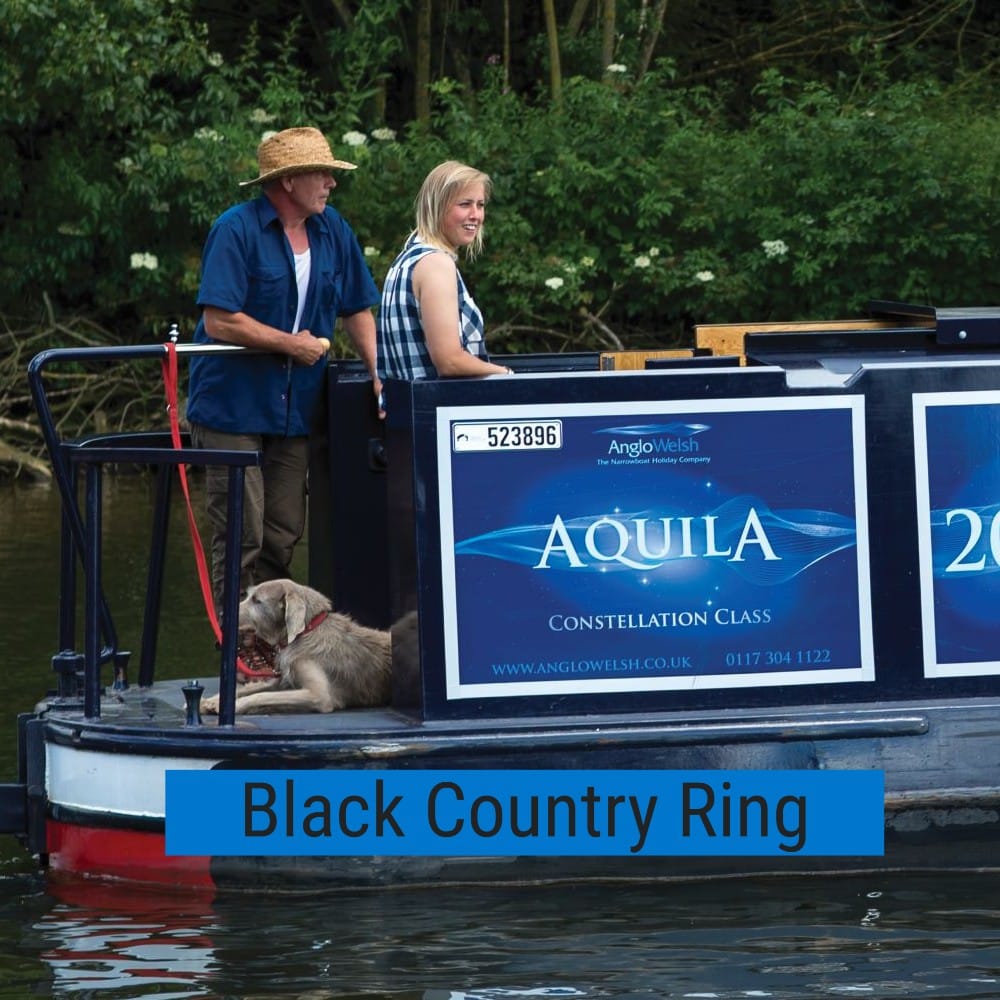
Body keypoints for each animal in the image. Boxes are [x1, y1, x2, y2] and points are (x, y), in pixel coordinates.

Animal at [199, 580, 390, 720]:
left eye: (257, 600)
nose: (222, 614)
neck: (305, 632)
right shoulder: (281, 679)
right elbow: (251, 688)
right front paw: (209, 701)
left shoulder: (320, 695)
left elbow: (263, 696)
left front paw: (235, 706)